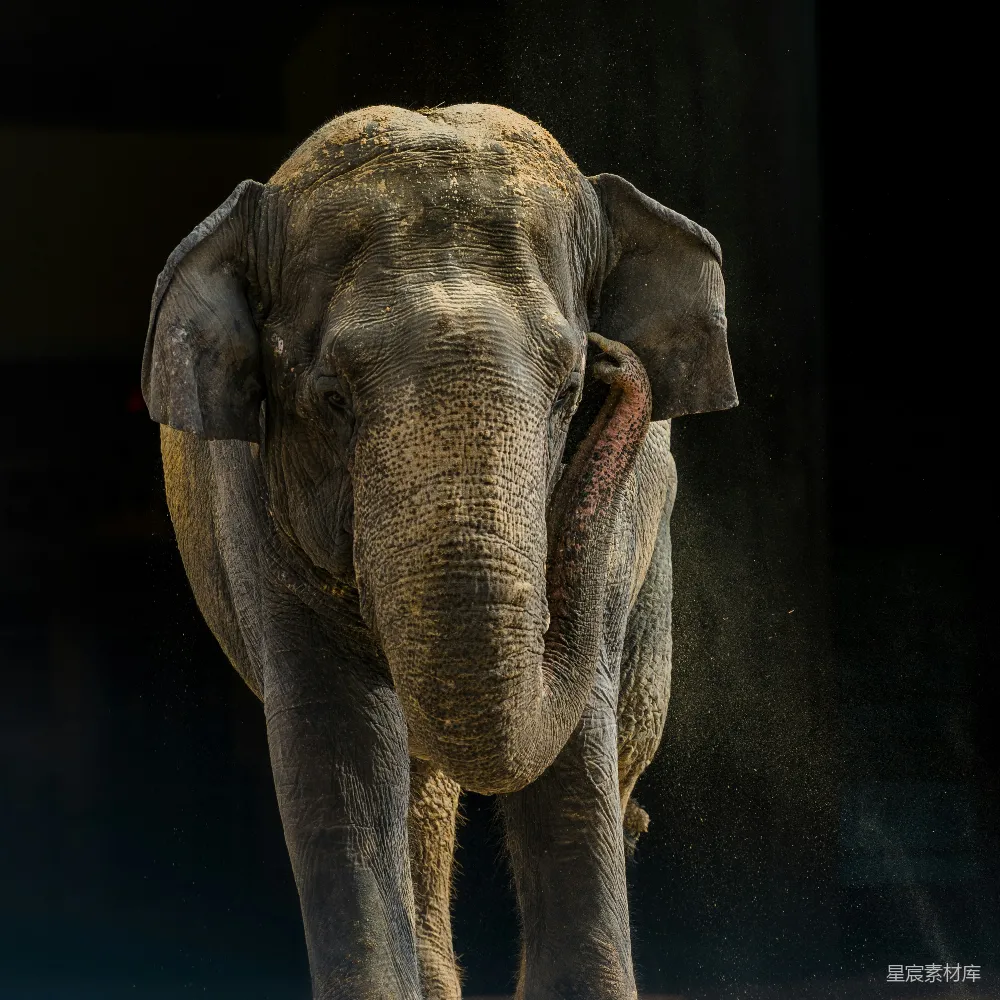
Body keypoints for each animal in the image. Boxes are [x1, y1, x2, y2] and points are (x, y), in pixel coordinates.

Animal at [142, 104, 736, 1000]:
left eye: (571, 391)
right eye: (333, 399)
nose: (613, 360)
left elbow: (576, 759)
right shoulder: (251, 512)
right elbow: (340, 752)